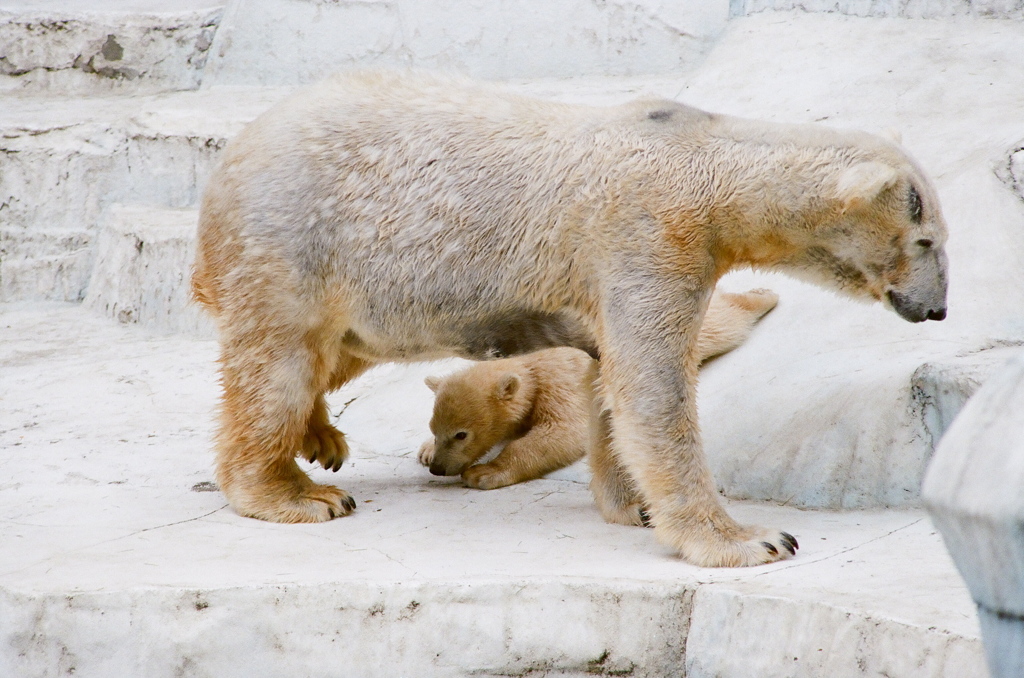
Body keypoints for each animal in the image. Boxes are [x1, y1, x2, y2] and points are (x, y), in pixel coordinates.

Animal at [193, 70, 950, 569]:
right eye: (927, 241)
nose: (937, 307)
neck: (705, 163)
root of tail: (224, 172)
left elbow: (608, 384)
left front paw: (634, 505)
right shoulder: (651, 234)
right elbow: (653, 387)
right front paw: (751, 538)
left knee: (335, 352)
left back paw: (323, 437)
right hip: (295, 243)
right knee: (278, 364)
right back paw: (299, 493)